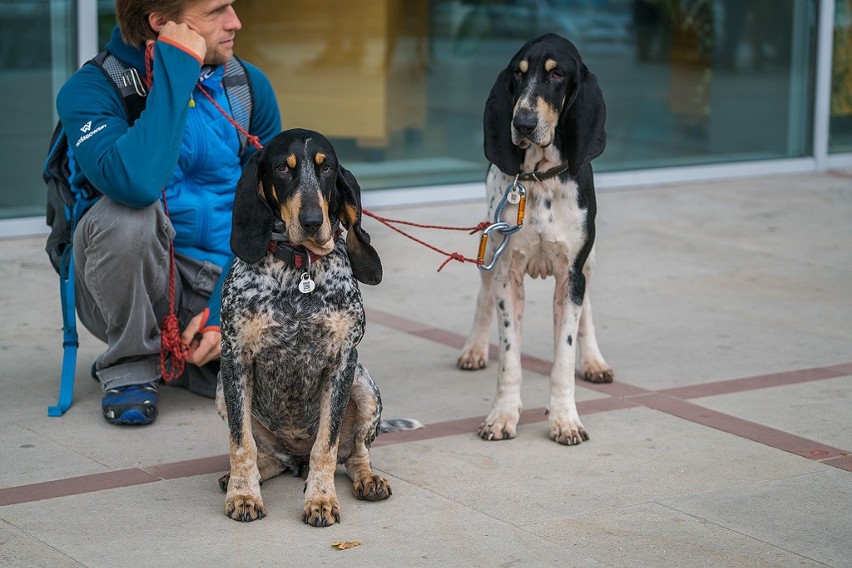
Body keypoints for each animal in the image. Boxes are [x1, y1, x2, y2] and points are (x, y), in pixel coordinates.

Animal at [216, 130, 420, 528]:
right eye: (283, 168)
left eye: (326, 169)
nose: (312, 220)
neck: (299, 269)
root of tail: (293, 457)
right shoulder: (234, 360)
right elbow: (241, 443)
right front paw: (243, 493)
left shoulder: (342, 362)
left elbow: (326, 446)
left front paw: (321, 499)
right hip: (222, 390)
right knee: (267, 457)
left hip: (364, 387)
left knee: (353, 454)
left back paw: (366, 479)